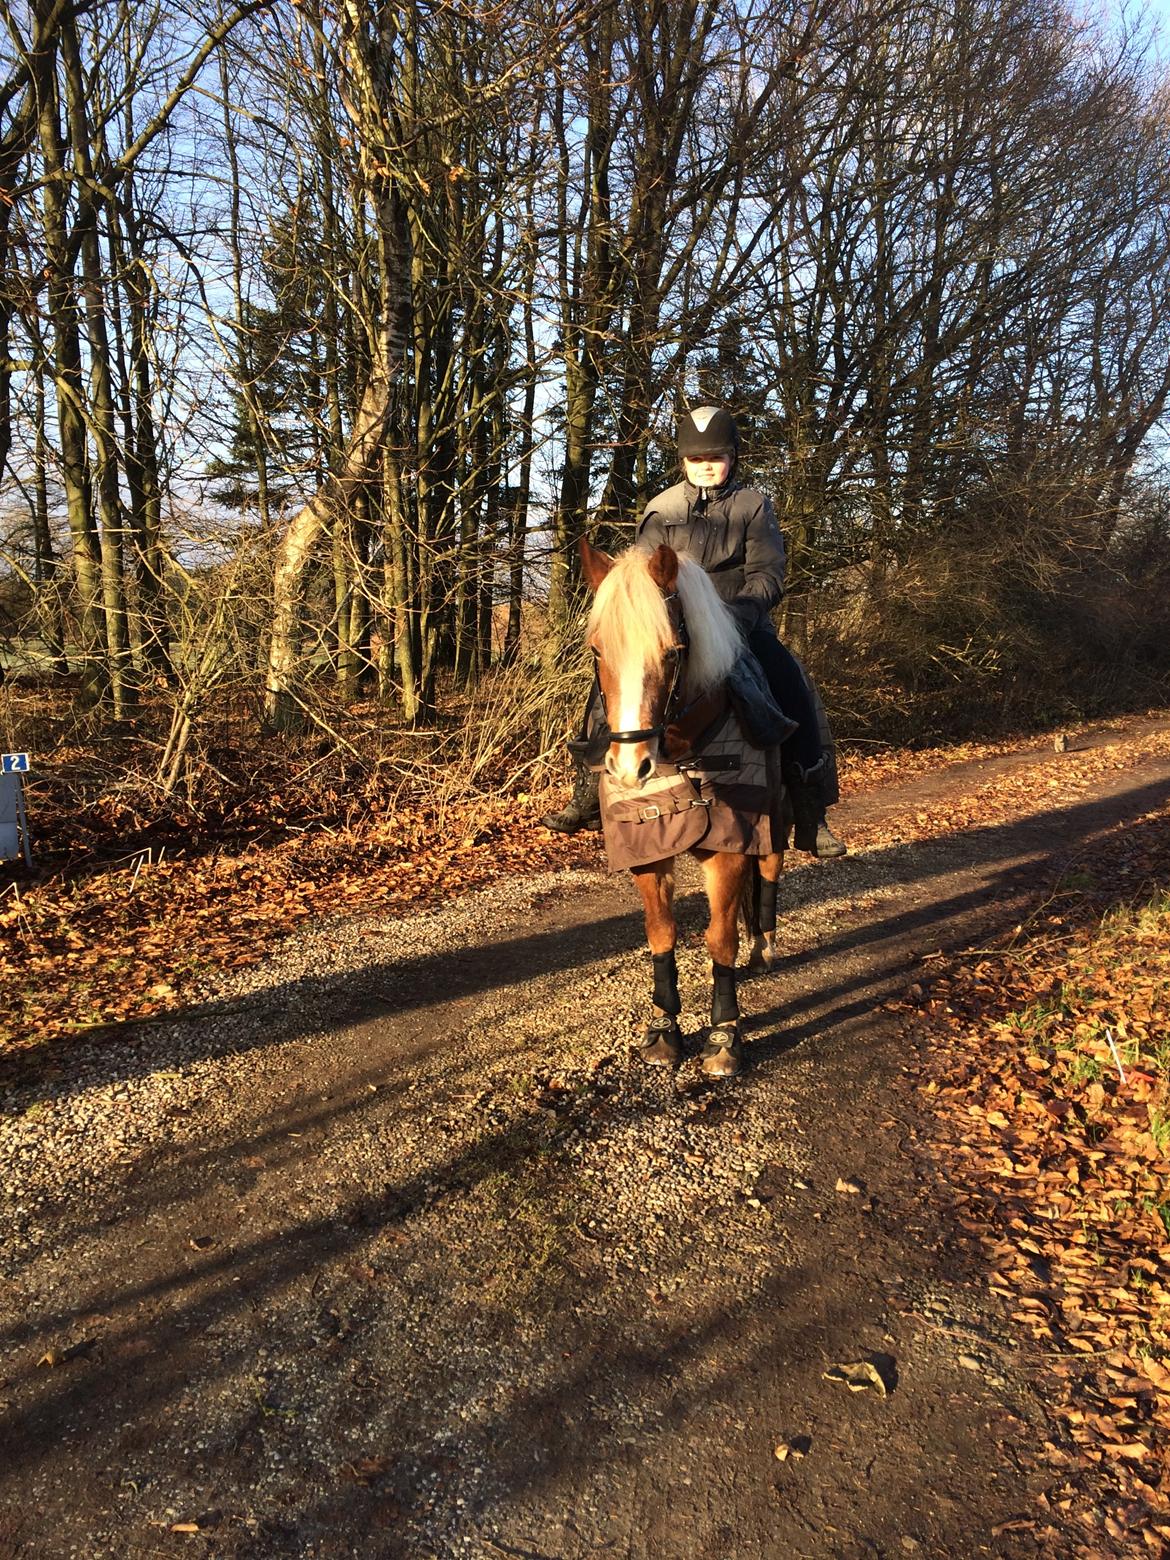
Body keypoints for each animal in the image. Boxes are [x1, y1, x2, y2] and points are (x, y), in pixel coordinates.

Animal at [580, 533, 789, 1073]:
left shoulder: (732, 846)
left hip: (776, 822)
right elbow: (662, 933)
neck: (685, 748)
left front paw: (724, 1034)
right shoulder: (648, 849)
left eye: (673, 653)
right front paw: (664, 1027)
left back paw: (765, 946)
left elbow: (720, 938)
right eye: (597, 650)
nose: (630, 768)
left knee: (769, 874)